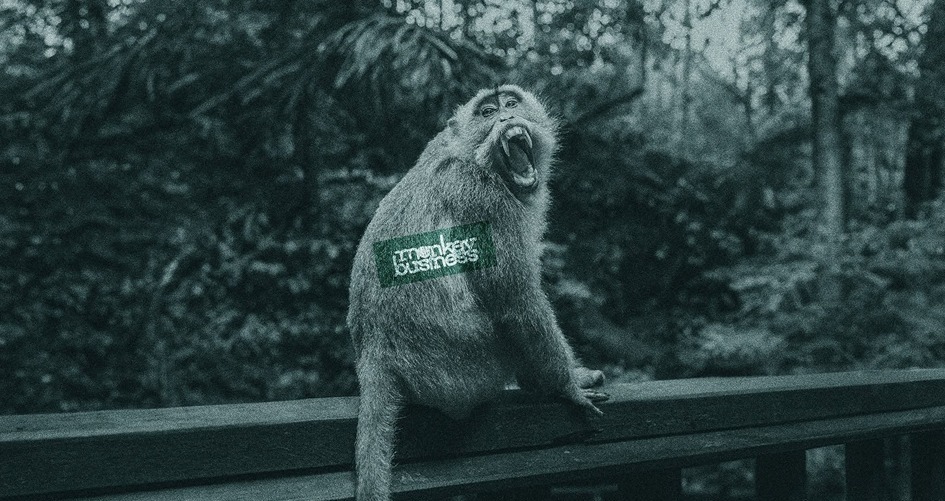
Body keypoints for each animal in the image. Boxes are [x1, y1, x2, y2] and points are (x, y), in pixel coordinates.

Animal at [346, 85, 608, 501]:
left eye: (511, 103)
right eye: (487, 112)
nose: (506, 118)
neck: (476, 158)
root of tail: (373, 351)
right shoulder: (484, 199)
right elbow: (518, 303)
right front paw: (568, 385)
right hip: (465, 371)